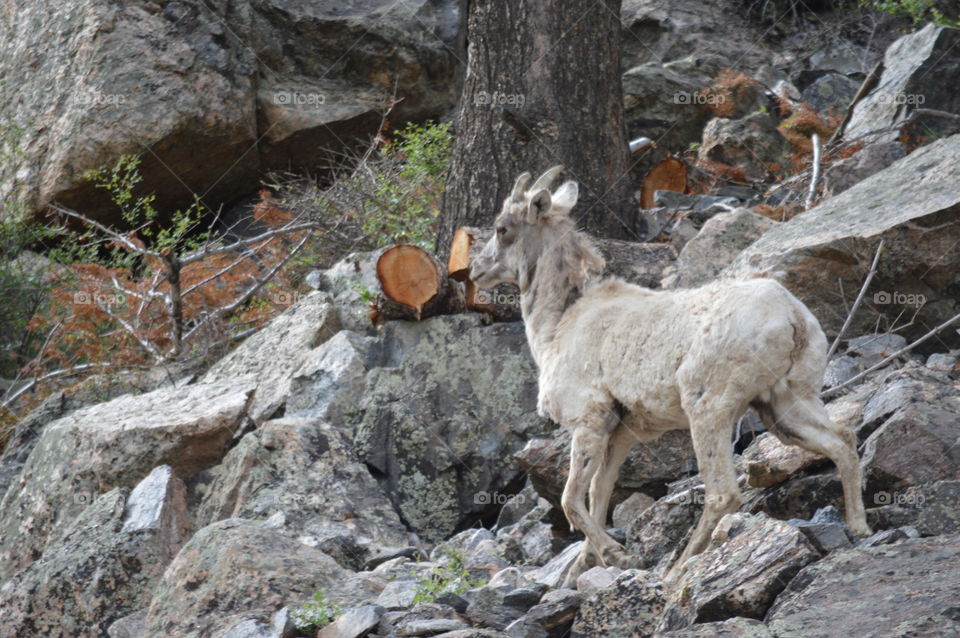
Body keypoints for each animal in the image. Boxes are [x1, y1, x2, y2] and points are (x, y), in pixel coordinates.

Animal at [470, 166, 870, 586]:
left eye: (502, 228)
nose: (476, 271)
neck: (559, 325)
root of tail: (791, 316)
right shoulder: (619, 436)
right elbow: (598, 496)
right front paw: (585, 567)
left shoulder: (589, 422)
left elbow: (572, 500)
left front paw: (620, 557)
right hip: (785, 406)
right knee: (842, 443)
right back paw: (859, 528)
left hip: (708, 410)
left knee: (723, 493)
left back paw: (677, 571)